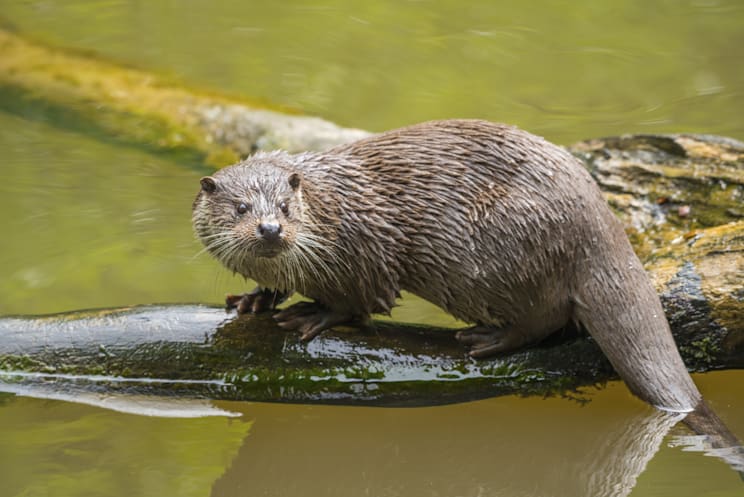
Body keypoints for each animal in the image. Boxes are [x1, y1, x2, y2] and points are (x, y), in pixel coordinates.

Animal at [192, 119, 702, 413]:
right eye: (240, 207)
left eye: (285, 205)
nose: (270, 228)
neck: (334, 207)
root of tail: (599, 220)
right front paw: (255, 299)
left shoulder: (367, 245)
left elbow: (357, 298)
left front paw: (313, 313)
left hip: (505, 246)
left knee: (545, 317)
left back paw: (489, 338)